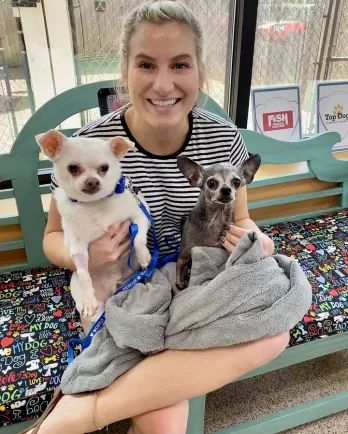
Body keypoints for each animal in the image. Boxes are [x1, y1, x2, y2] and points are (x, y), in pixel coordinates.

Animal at [36, 131, 151, 320]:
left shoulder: (140, 217)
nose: (92, 181)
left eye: (104, 168)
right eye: (72, 168)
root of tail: (113, 287)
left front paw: (144, 256)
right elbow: (84, 274)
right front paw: (89, 300)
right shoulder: (78, 249)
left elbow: (139, 240)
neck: (94, 204)